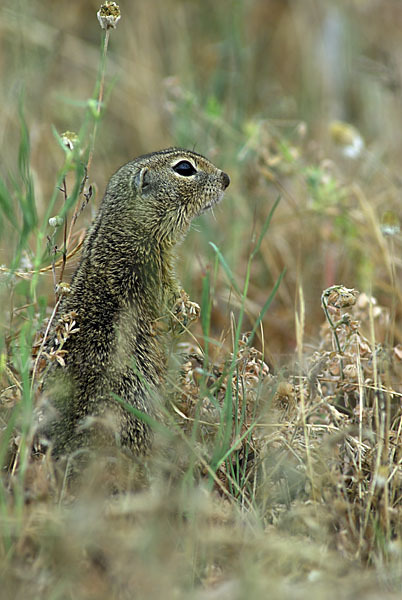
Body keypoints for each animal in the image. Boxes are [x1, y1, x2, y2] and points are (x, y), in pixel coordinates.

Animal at [39, 149, 231, 460]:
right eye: (184, 168)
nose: (225, 179)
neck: (124, 228)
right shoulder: (156, 272)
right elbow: (169, 302)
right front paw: (186, 313)